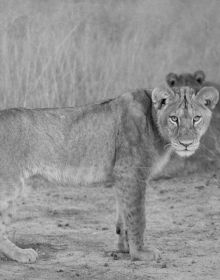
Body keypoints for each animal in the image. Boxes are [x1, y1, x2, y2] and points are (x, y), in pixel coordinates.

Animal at [0, 86, 218, 262]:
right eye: (174, 118)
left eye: (196, 118)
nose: (186, 144)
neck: (154, 123)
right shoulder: (132, 173)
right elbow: (138, 217)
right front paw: (140, 253)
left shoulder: (122, 176)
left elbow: (124, 215)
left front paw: (124, 249)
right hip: (11, 185)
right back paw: (22, 254)